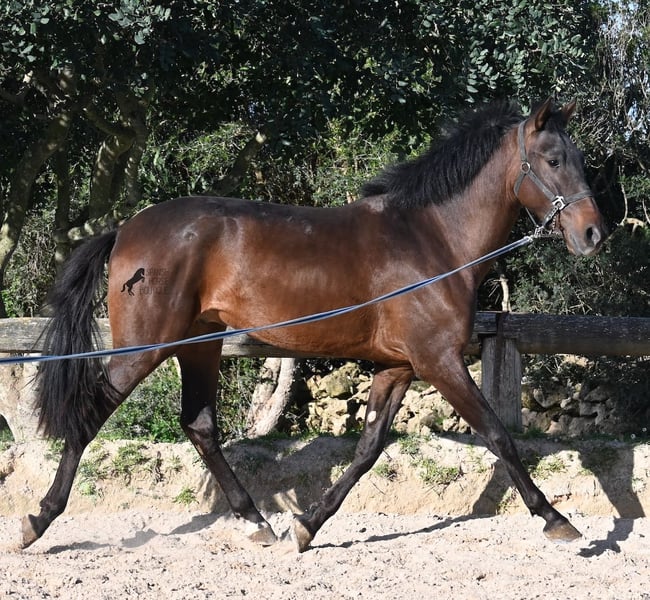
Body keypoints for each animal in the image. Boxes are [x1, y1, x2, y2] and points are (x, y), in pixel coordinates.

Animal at [22, 98, 605, 552]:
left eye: (579, 159)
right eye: (553, 159)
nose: (594, 234)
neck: (431, 239)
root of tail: (124, 230)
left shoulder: (397, 367)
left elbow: (368, 450)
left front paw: (305, 528)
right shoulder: (440, 362)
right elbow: (498, 435)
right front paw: (557, 520)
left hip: (199, 346)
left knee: (200, 426)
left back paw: (258, 523)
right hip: (145, 348)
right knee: (91, 414)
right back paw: (37, 521)